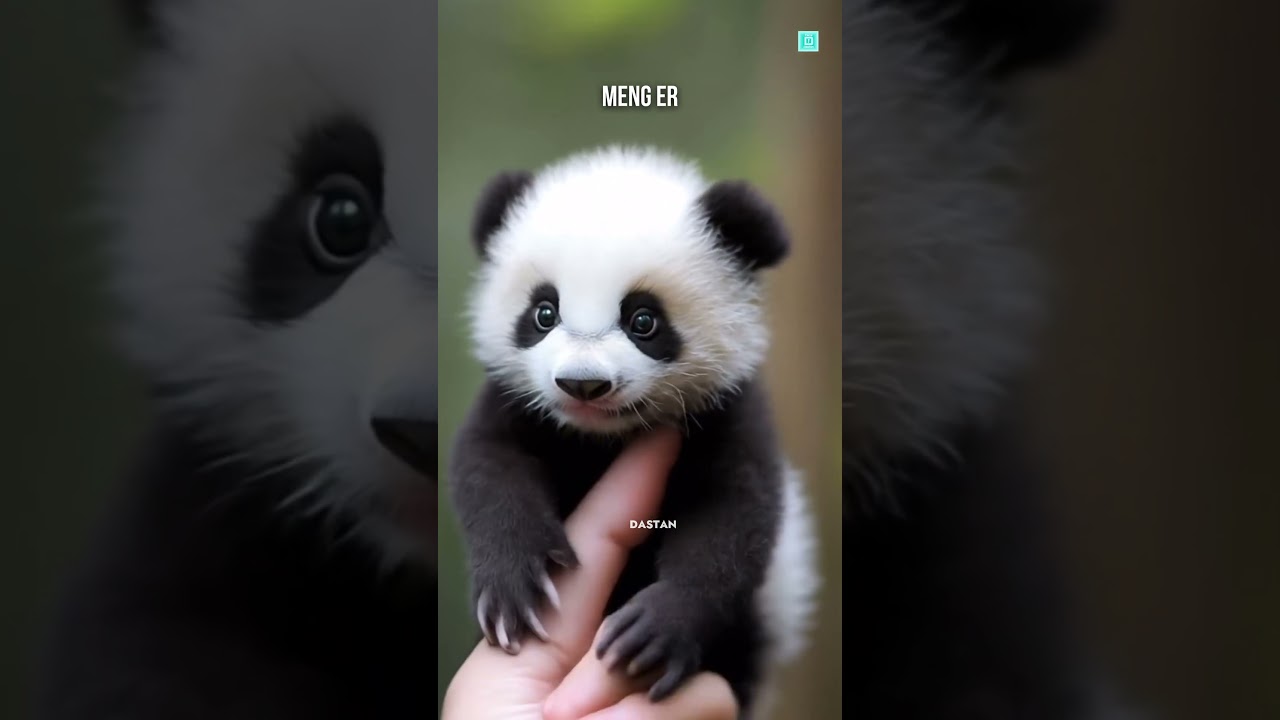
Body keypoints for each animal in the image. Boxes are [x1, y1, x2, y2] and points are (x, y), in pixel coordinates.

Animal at [447, 145, 820, 719]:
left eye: (643, 320)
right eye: (543, 312)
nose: (583, 384)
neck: (601, 438)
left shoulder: (728, 410)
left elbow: (734, 513)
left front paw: (660, 627)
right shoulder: (515, 402)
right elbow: (488, 468)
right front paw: (513, 584)